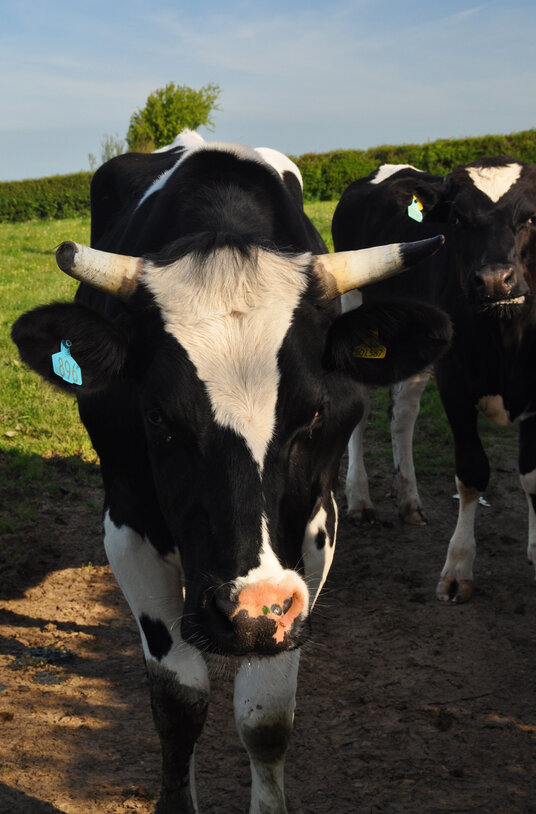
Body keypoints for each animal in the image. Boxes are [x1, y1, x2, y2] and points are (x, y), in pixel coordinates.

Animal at [11, 133, 449, 813]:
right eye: (159, 418)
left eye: (314, 413)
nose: (246, 609)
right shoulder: (128, 526)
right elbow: (178, 699)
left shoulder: (311, 539)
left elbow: (265, 714)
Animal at [332, 156, 536, 605]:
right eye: (458, 218)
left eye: (532, 215)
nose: (494, 280)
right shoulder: (455, 383)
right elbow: (472, 473)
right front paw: (458, 569)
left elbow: (532, 476)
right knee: (361, 413)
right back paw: (360, 500)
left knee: (403, 414)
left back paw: (409, 500)